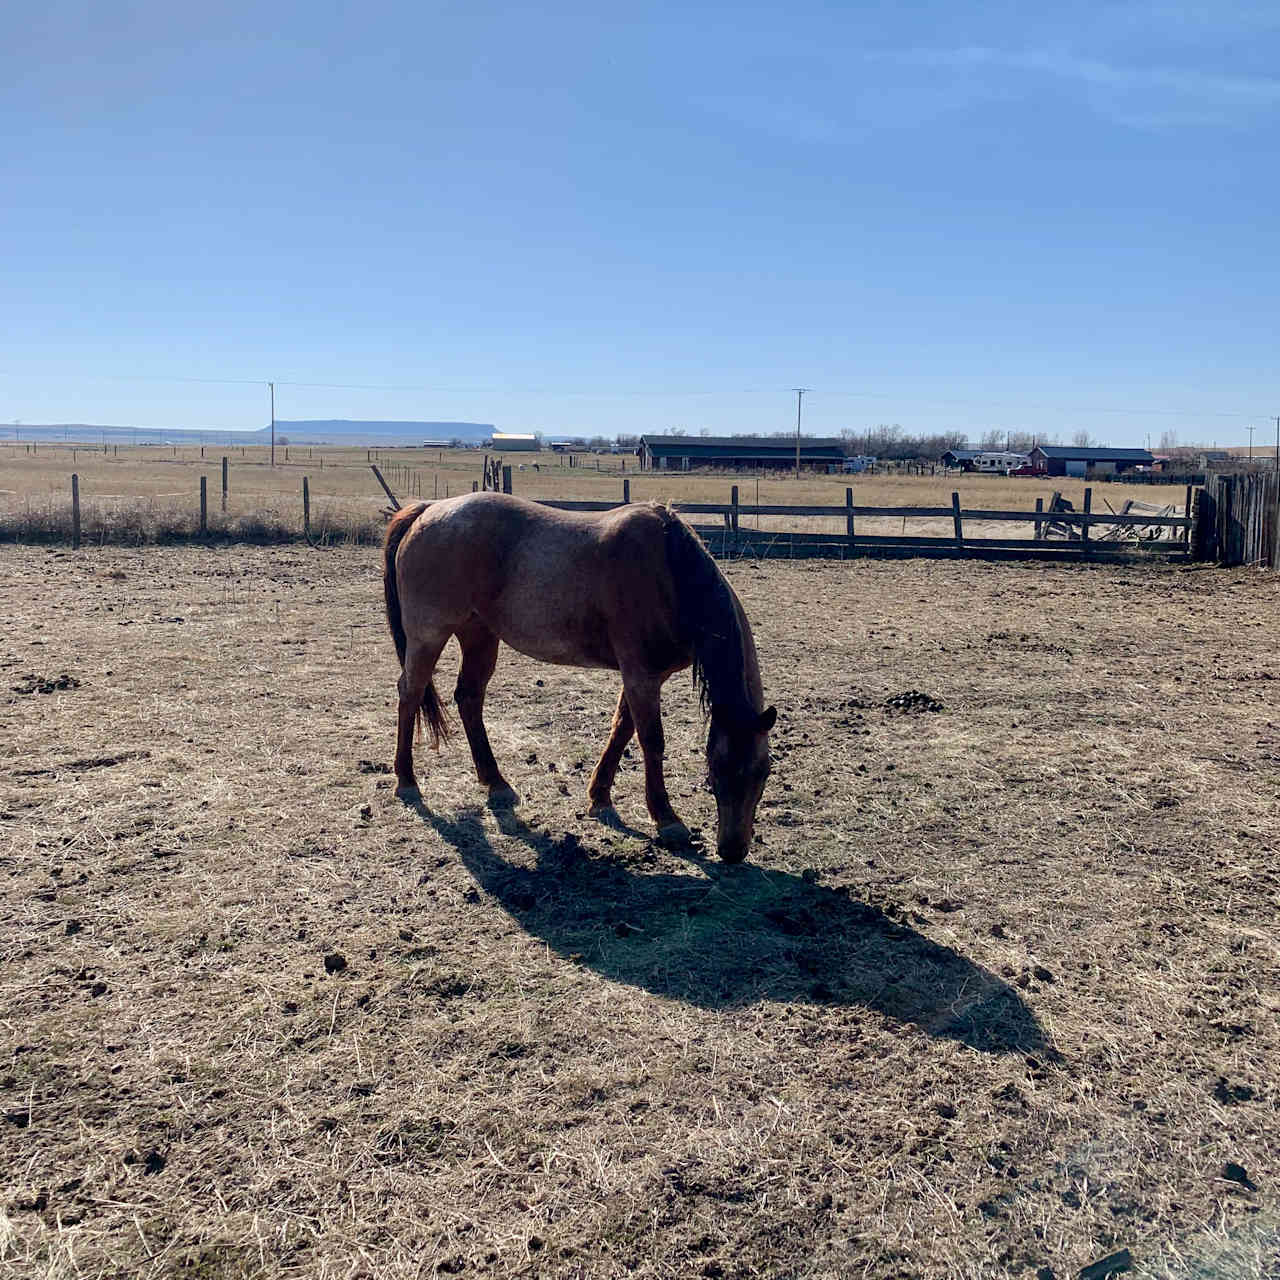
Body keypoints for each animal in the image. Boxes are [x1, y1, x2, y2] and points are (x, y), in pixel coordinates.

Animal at [384, 494, 773, 865]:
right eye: (715, 771)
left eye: (763, 772)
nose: (733, 851)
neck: (670, 571)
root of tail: (428, 509)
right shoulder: (641, 676)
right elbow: (651, 741)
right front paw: (666, 819)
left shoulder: (645, 677)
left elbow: (622, 730)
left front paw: (600, 797)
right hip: (428, 637)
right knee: (411, 693)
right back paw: (407, 780)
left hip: (479, 635)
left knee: (468, 698)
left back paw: (495, 783)